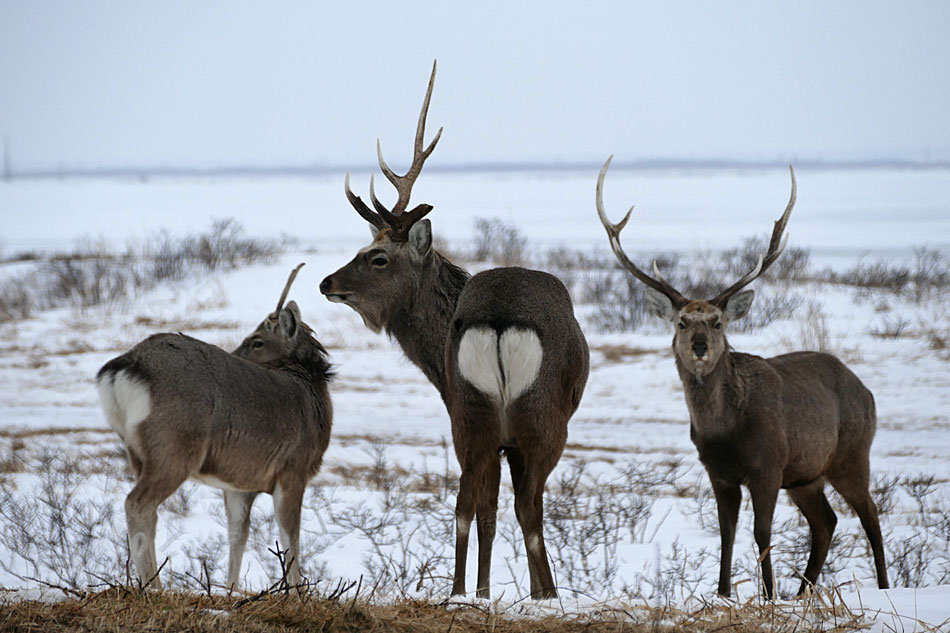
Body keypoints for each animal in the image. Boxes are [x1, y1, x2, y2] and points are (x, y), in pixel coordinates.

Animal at [96, 264, 334, 592]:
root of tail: (122, 367)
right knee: (137, 503)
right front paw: (297, 592)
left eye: (257, 341)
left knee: (149, 511)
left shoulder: (239, 483)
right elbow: (290, 539)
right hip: (174, 447)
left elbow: (237, 535)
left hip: (137, 451)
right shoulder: (293, 469)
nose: (234, 355)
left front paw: (230, 590)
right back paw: (153, 587)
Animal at [320, 61, 588, 600]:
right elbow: (505, 509)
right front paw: (529, 593)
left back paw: (460, 592)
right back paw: (546, 595)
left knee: (466, 503)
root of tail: (500, 321)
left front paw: (483, 592)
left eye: (376, 257)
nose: (326, 282)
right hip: (540, 415)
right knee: (527, 506)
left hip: (470, 412)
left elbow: (485, 510)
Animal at [600, 158, 888, 596]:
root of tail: (866, 390)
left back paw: (884, 587)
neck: (725, 431)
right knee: (827, 522)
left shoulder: (768, 466)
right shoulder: (718, 473)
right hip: (807, 475)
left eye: (717, 322)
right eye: (682, 322)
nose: (700, 346)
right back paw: (804, 593)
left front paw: (768, 596)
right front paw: (723, 593)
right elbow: (726, 534)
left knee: (870, 517)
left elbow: (761, 533)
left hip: (852, 454)